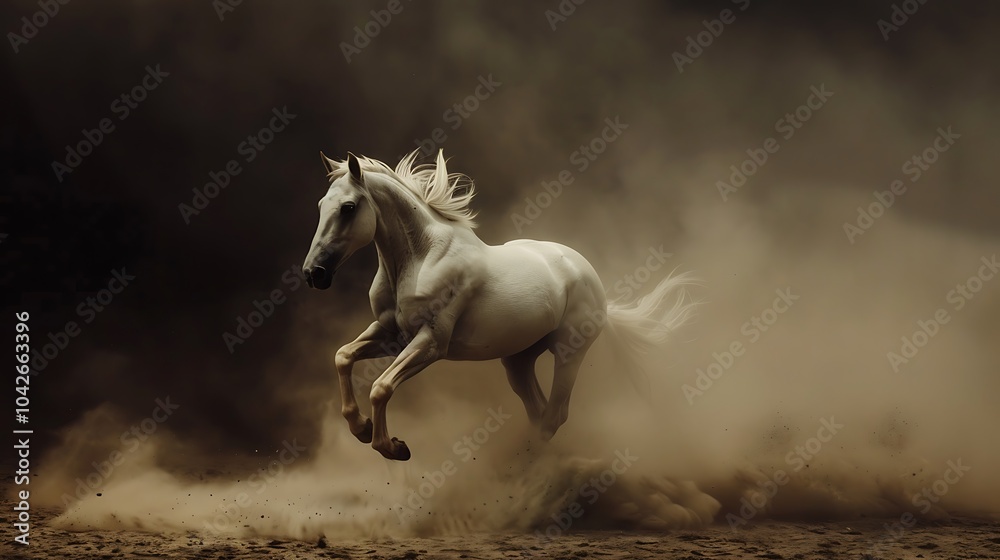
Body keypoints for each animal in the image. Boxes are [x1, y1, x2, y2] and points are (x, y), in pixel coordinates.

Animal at [301, 150, 696, 461]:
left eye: (349, 207)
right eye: (320, 206)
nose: (313, 273)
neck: (421, 258)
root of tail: (589, 276)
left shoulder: (431, 343)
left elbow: (381, 386)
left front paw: (393, 447)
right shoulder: (390, 333)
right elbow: (342, 356)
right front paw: (361, 428)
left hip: (570, 353)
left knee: (554, 414)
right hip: (518, 359)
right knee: (538, 410)